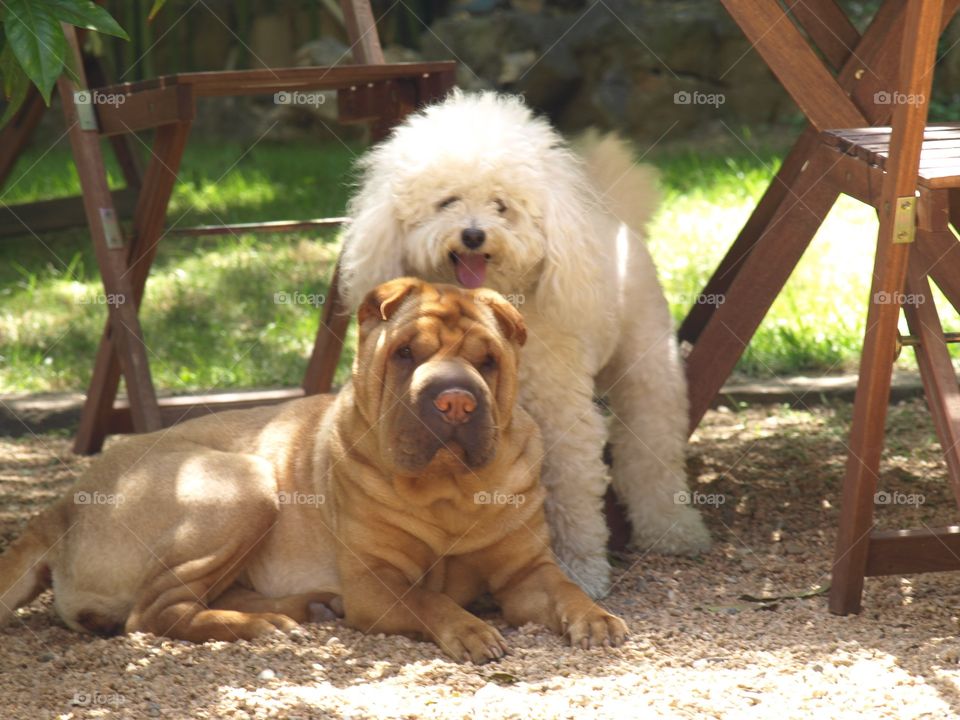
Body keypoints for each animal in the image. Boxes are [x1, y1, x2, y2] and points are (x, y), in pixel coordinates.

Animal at [0, 278, 628, 660]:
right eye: (406, 353)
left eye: (488, 361)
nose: (454, 401)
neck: (450, 492)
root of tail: (58, 508)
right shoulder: (378, 583)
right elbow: (431, 601)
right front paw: (471, 629)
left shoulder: (526, 572)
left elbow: (565, 587)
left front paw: (596, 617)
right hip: (246, 483)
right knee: (153, 613)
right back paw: (260, 627)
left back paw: (302, 608)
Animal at [338, 91, 704, 596]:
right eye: (447, 201)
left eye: (502, 205)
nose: (474, 234)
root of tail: (615, 214)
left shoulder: (562, 417)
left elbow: (572, 493)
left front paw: (580, 571)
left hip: (649, 368)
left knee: (652, 448)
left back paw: (673, 529)